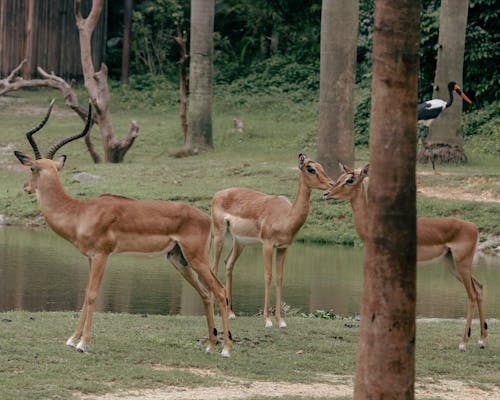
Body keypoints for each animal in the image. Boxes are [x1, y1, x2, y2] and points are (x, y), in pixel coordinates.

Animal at [13, 100, 232, 356]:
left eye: (32, 169)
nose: (26, 187)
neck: (80, 212)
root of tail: (205, 216)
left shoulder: (101, 255)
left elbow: (92, 295)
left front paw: (82, 344)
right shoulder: (90, 257)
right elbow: (85, 293)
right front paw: (72, 339)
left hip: (197, 258)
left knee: (220, 291)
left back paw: (226, 349)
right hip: (179, 260)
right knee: (206, 293)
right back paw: (210, 345)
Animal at [209, 154, 334, 328]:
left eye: (321, 166)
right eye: (311, 169)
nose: (331, 184)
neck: (285, 217)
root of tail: (217, 194)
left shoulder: (283, 248)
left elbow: (279, 278)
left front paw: (281, 321)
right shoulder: (267, 245)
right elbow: (268, 276)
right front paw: (268, 320)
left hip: (239, 243)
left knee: (228, 263)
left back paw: (231, 313)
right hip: (219, 235)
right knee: (213, 268)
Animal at [322, 162, 486, 350]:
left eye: (350, 180)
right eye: (340, 178)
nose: (326, 194)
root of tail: (474, 227)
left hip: (461, 264)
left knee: (472, 294)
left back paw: (463, 343)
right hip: (452, 264)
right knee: (479, 288)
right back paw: (482, 341)